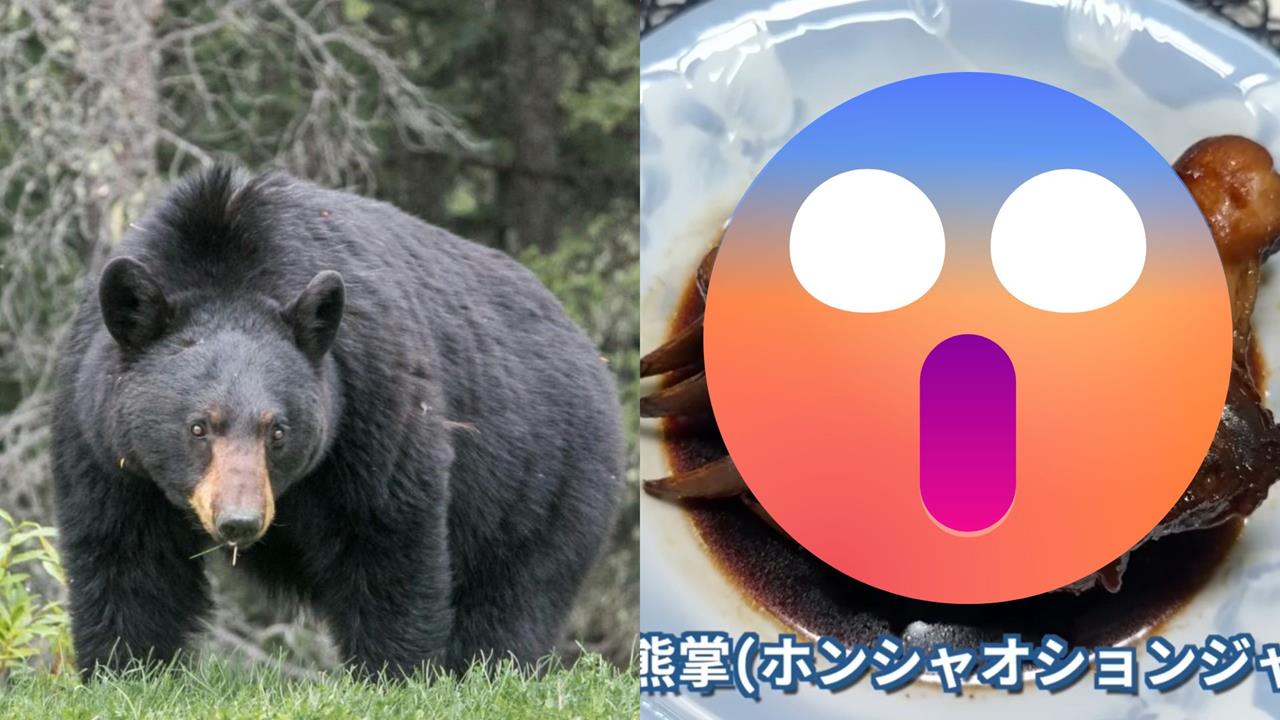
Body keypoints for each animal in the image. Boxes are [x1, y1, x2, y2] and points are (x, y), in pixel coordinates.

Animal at [50, 164, 625, 678]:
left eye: (277, 430)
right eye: (198, 427)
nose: (239, 521)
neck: (225, 256)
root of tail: (589, 351)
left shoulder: (371, 395)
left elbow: (386, 536)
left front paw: (395, 674)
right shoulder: (100, 433)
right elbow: (127, 555)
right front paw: (126, 669)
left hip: (546, 480)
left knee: (515, 596)